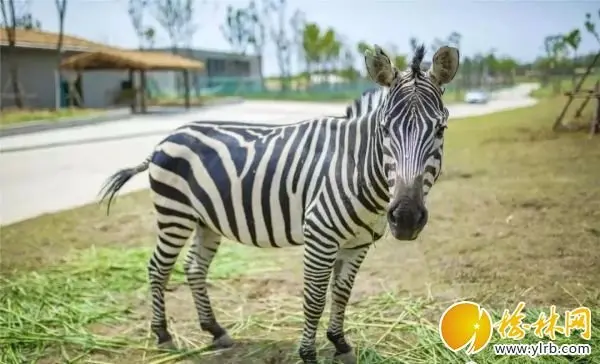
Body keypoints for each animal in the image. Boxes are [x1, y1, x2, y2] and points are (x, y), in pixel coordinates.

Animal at [99, 43, 460, 364]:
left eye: (441, 129)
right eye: (384, 130)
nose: (406, 218)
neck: (355, 167)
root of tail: (166, 138)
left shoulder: (357, 244)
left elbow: (341, 294)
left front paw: (340, 343)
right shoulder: (320, 237)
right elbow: (315, 298)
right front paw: (309, 354)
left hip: (206, 220)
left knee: (194, 268)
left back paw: (215, 330)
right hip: (174, 215)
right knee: (158, 268)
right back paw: (162, 334)